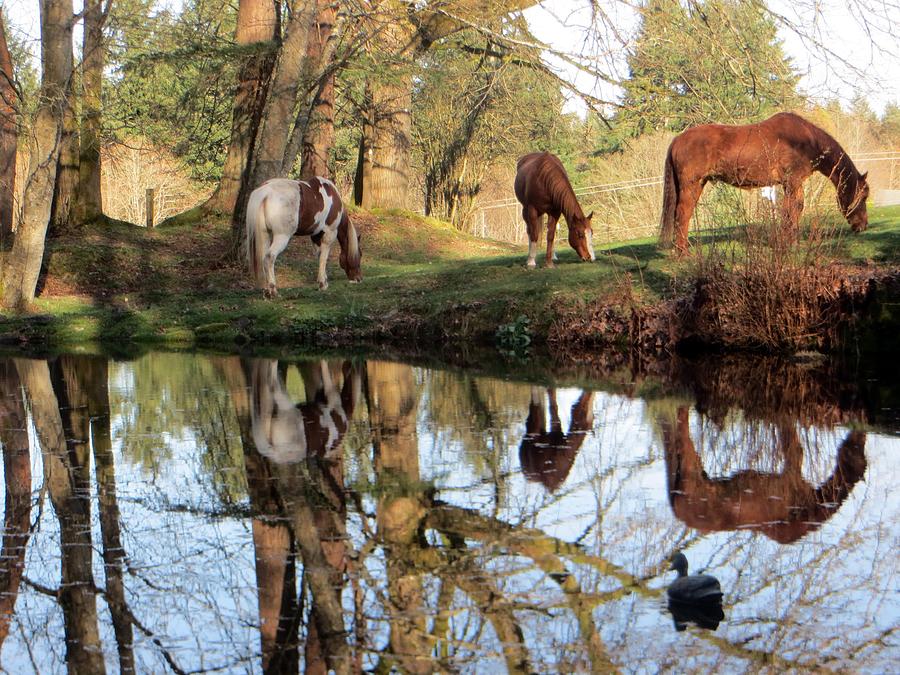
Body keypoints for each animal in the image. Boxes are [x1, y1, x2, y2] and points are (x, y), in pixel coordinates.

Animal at [660, 112, 872, 255]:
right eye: (863, 196)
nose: (863, 225)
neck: (805, 140)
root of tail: (678, 139)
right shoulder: (792, 182)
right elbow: (792, 211)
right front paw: (789, 244)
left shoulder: (792, 184)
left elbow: (794, 210)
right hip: (691, 185)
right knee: (683, 214)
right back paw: (683, 253)